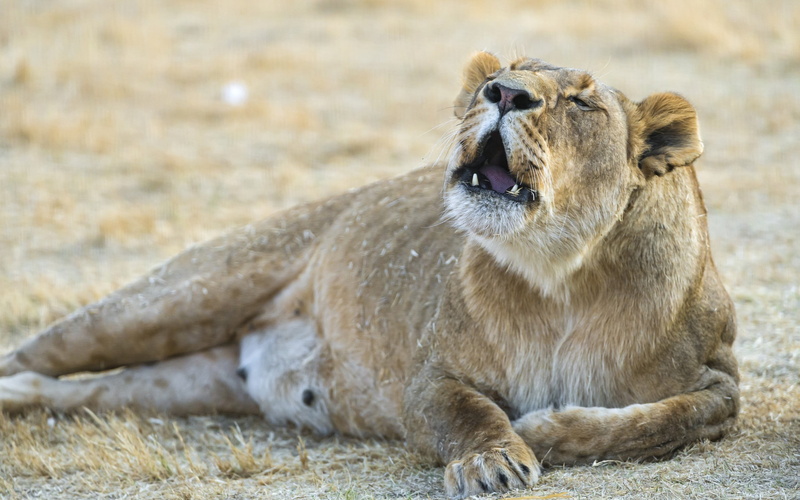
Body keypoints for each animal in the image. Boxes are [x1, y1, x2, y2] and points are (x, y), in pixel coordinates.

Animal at [0, 53, 738, 498]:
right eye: (498, 75)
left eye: (583, 105)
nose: (502, 93)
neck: (560, 275)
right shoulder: (430, 376)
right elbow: (467, 411)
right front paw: (494, 458)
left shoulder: (721, 378)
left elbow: (666, 419)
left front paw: (546, 431)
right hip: (175, 299)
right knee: (41, 349)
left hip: (184, 382)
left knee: (76, 390)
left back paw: (21, 398)